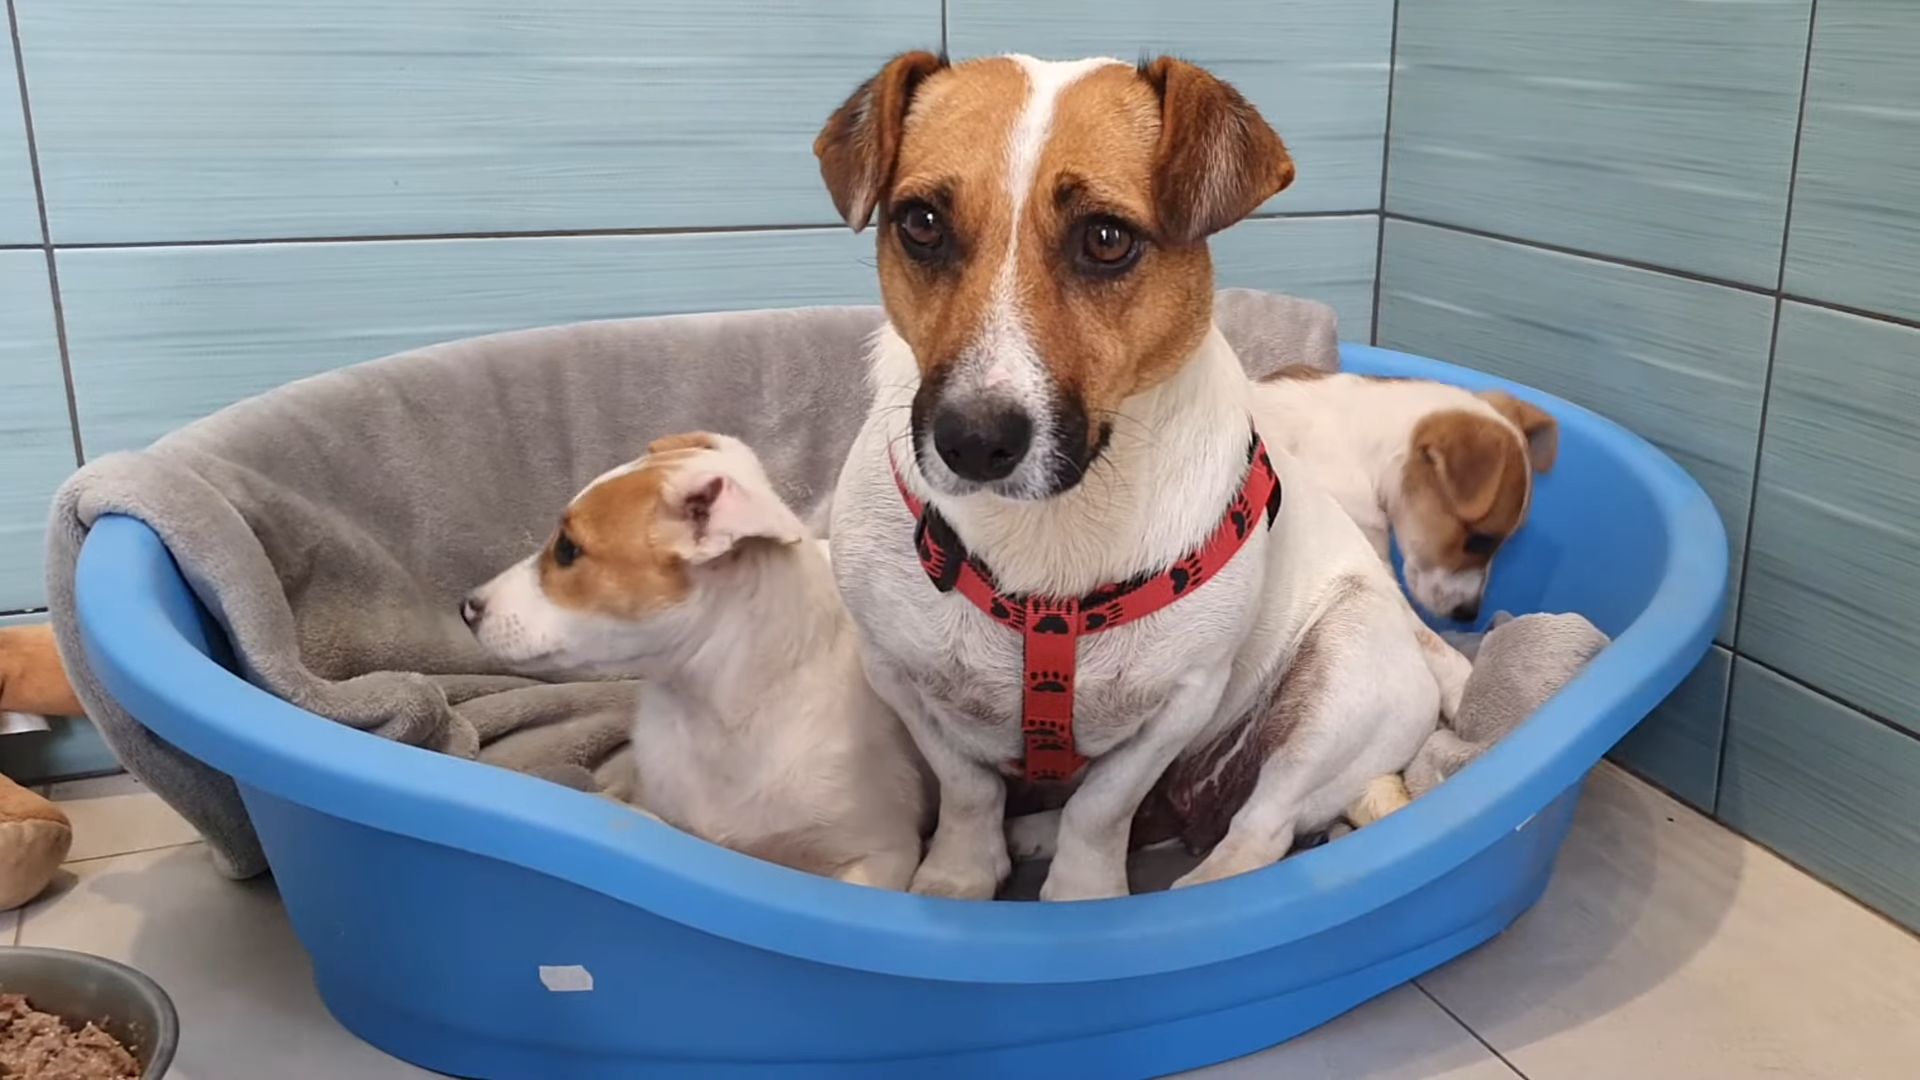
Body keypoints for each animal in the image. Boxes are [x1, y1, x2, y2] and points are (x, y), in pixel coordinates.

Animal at [810, 50, 1451, 895]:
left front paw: (1084, 893)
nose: (973, 440)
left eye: (1107, 238)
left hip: (1341, 679)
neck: (1050, 528)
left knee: (1263, 826)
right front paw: (961, 873)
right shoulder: (897, 673)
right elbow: (969, 786)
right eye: (921, 224)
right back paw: (1034, 831)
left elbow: (1104, 806)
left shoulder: (1183, 701)